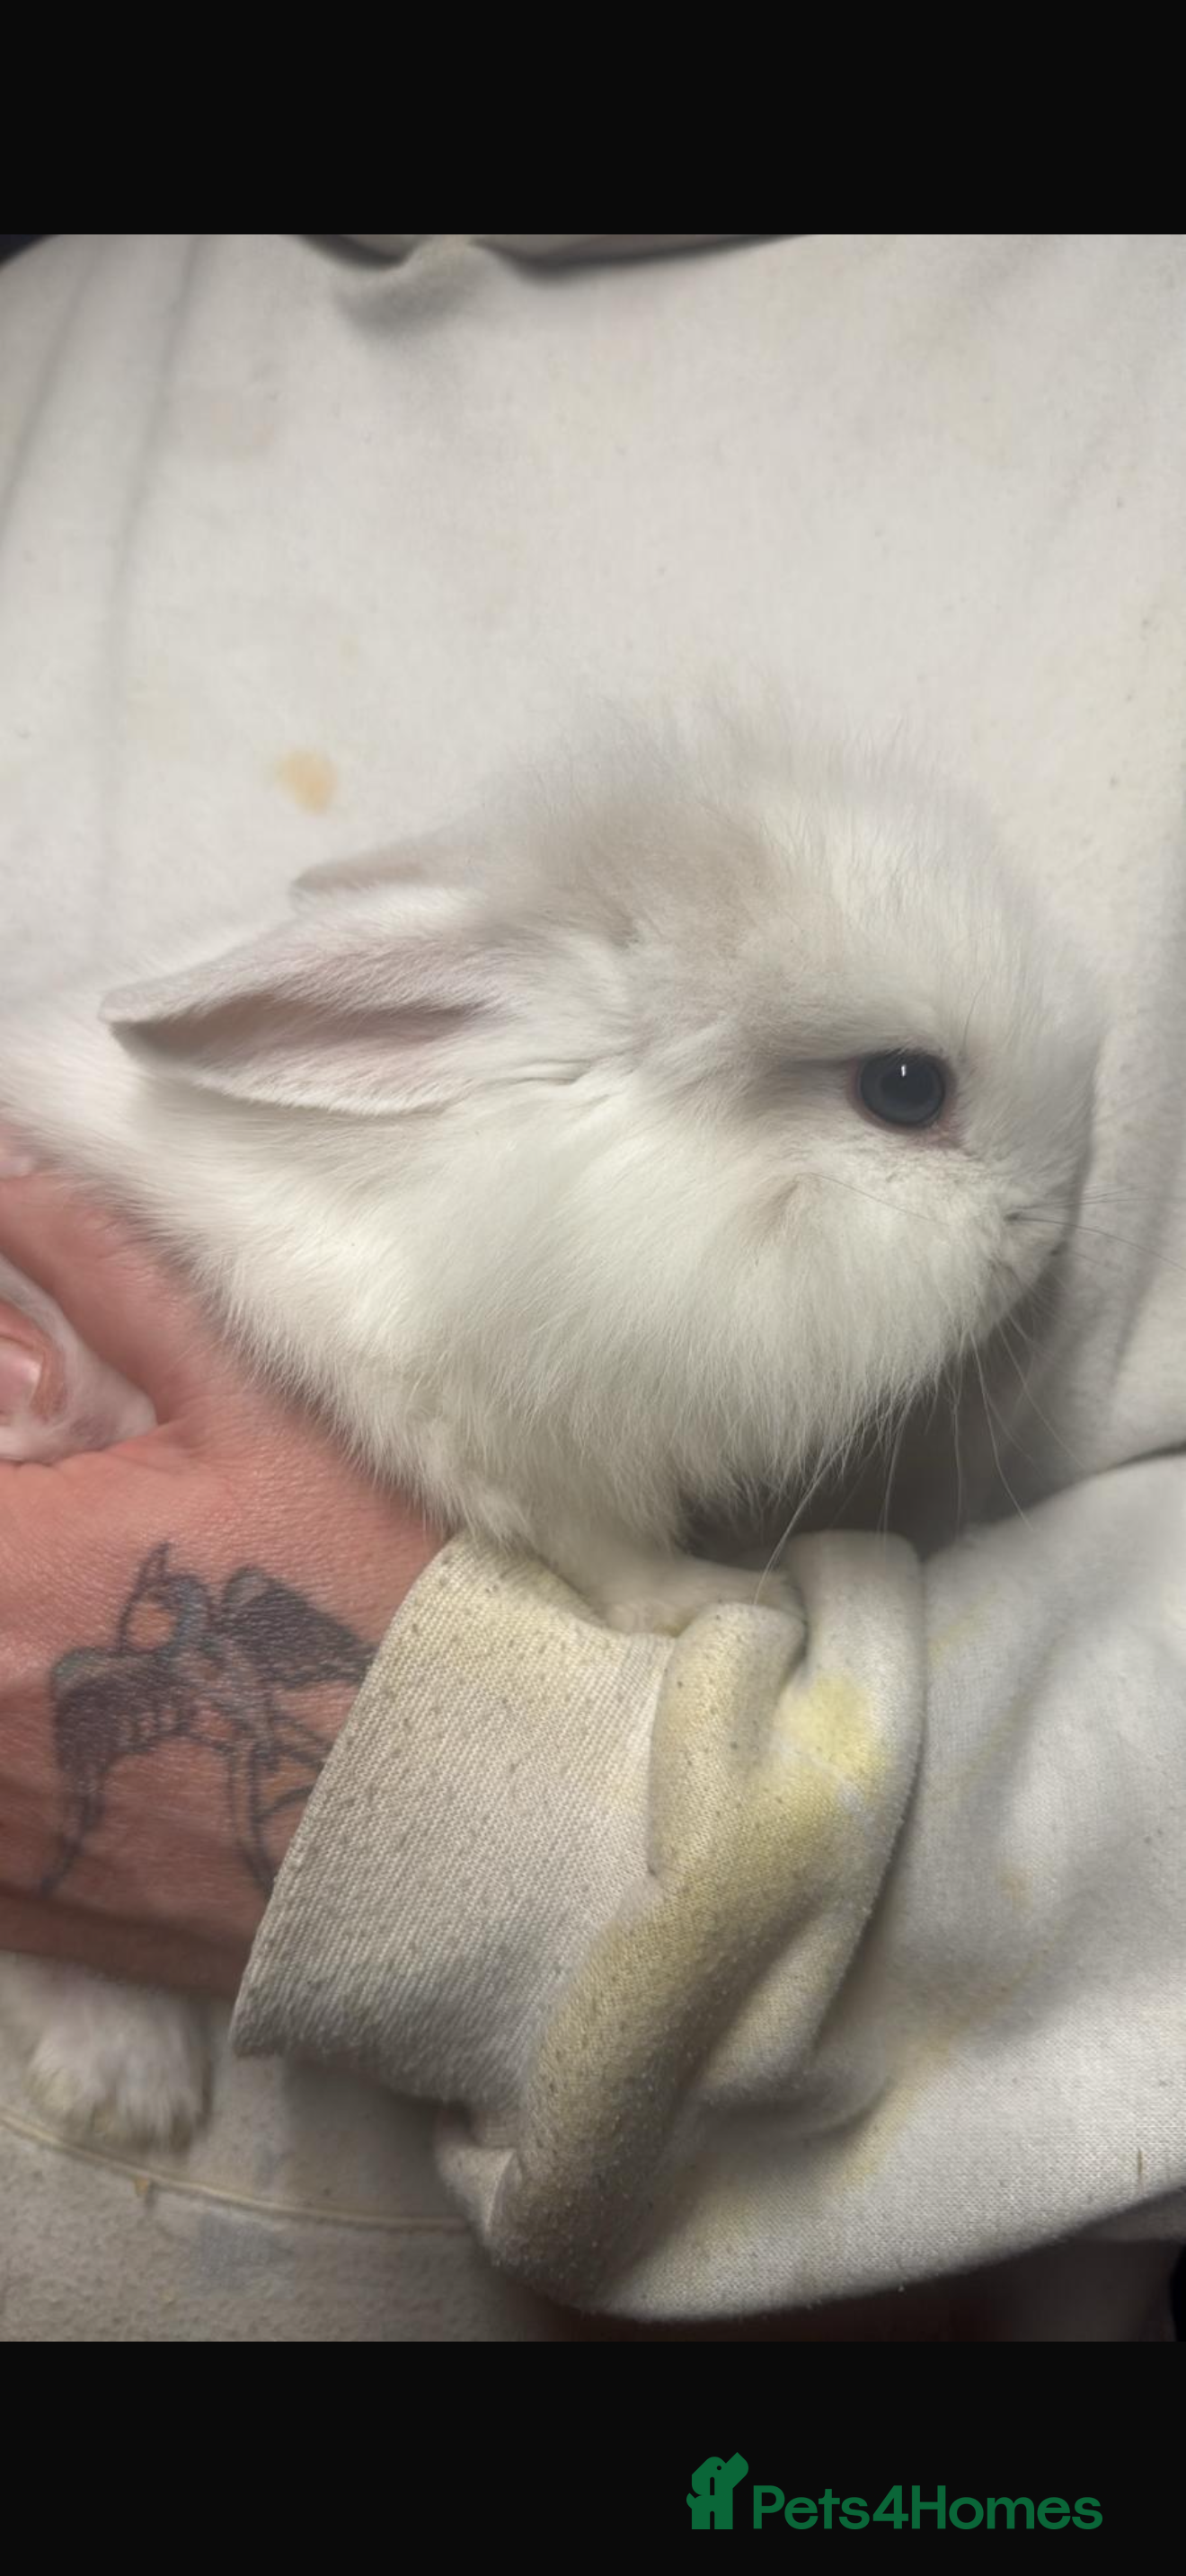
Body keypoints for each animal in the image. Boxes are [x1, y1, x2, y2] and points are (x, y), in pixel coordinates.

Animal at [0, 711, 1099, 2147]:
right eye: (906, 1089)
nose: (1056, 1218)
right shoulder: (509, 1451)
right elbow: (619, 1565)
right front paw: (724, 1597)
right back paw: (123, 2087)